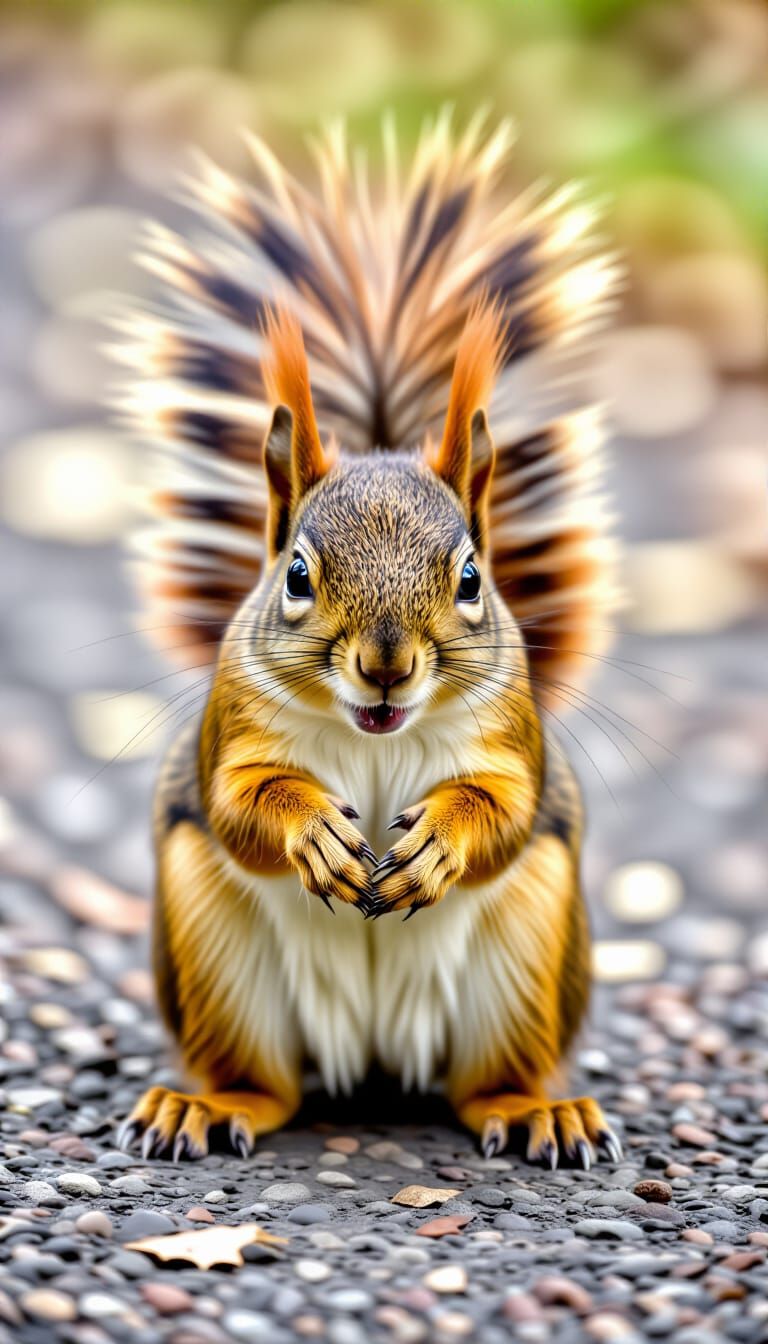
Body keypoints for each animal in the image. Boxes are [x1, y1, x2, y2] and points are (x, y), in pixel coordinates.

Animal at [115, 114, 623, 1169]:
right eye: (298, 575)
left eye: (470, 578)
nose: (386, 665)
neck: (376, 735)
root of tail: (379, 1059)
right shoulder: (233, 731)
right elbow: (240, 803)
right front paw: (310, 827)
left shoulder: (512, 743)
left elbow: (504, 810)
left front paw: (438, 841)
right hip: (216, 954)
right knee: (266, 1088)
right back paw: (206, 1105)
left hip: (527, 955)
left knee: (485, 1087)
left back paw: (536, 1112)